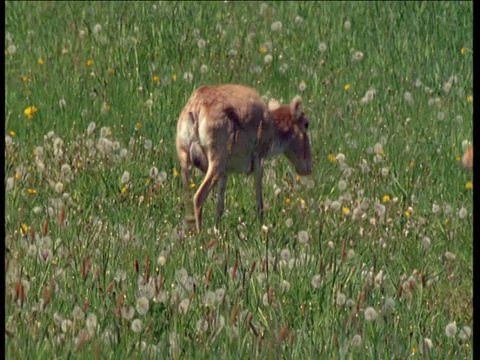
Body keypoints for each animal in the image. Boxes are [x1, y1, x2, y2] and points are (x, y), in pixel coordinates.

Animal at [176, 83, 312, 233]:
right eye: (306, 124)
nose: (308, 168)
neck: (272, 123)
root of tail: (196, 106)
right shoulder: (259, 159)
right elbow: (259, 202)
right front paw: (262, 229)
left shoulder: (225, 172)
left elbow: (220, 205)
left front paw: (217, 231)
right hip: (215, 163)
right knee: (198, 197)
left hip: (186, 162)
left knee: (188, 198)